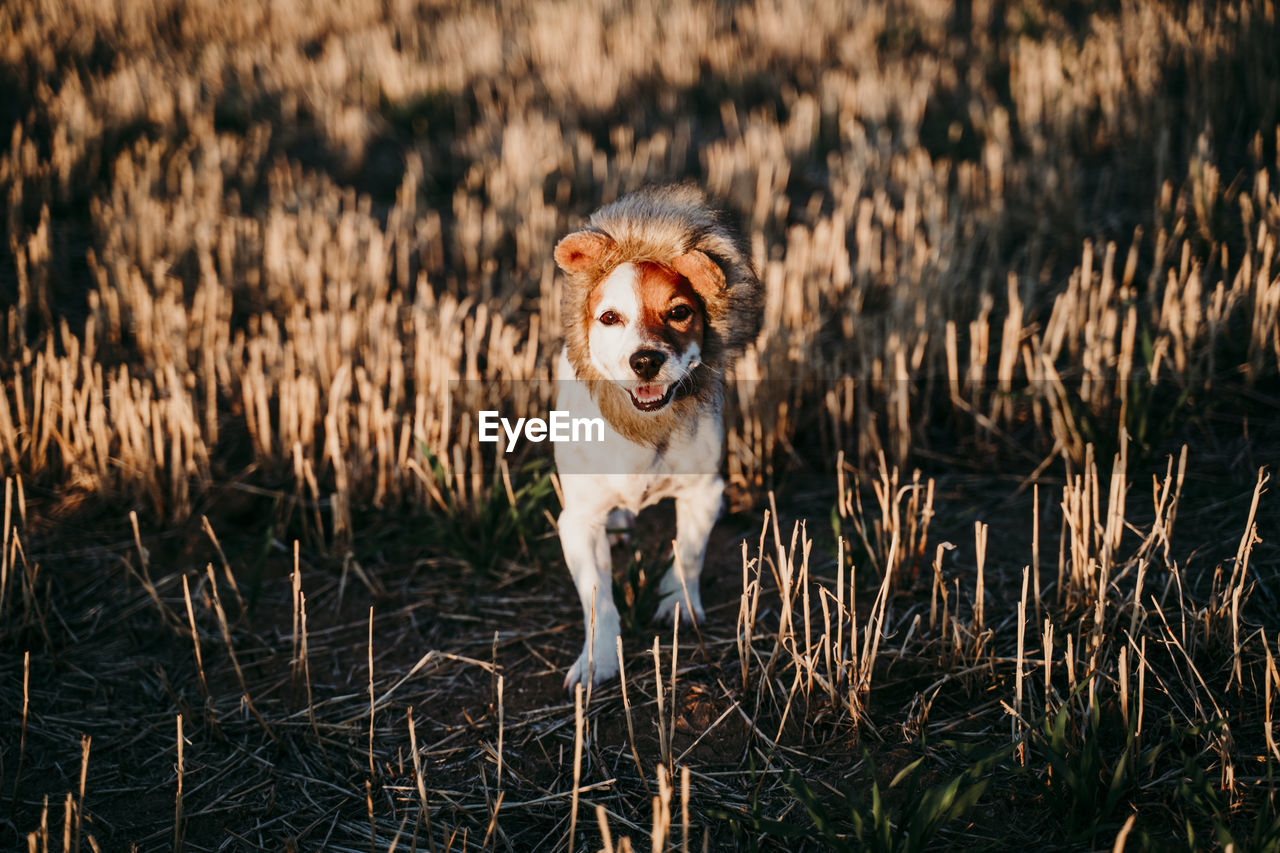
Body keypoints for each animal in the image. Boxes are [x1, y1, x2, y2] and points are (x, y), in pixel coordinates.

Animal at [550, 184, 757, 686]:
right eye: (609, 318)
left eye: (679, 312)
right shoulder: (577, 521)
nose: (645, 360)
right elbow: (597, 597)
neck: (643, 427)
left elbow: (689, 554)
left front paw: (678, 605)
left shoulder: (704, 492)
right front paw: (597, 661)